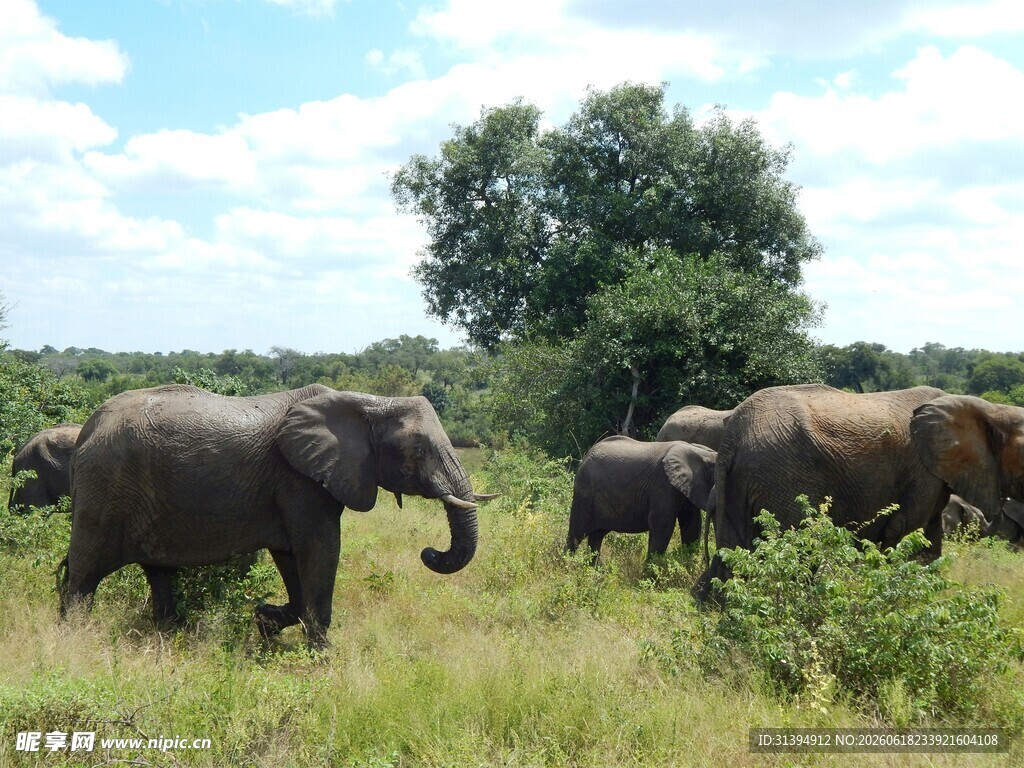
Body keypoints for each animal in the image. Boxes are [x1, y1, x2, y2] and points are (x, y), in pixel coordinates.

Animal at [59, 384, 484, 648]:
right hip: (105, 488)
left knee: (157, 573)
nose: (430, 552)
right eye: (417, 450)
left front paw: (265, 621)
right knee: (83, 573)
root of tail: (88, 428)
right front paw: (322, 658)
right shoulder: (299, 480)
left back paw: (170, 636)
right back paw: (73, 638)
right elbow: (321, 550)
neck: (369, 403)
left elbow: (292, 557)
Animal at [566, 435, 716, 561]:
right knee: (576, 534)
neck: (702, 453)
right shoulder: (662, 485)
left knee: (597, 536)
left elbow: (692, 523)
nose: (706, 559)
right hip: (584, 493)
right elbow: (663, 525)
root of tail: (586, 456)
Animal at [694, 385, 1024, 601]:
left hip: (741, 481)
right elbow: (908, 536)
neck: (988, 409)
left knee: (729, 555)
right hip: (783, 476)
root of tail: (734, 432)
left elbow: (929, 542)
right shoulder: (923, 474)